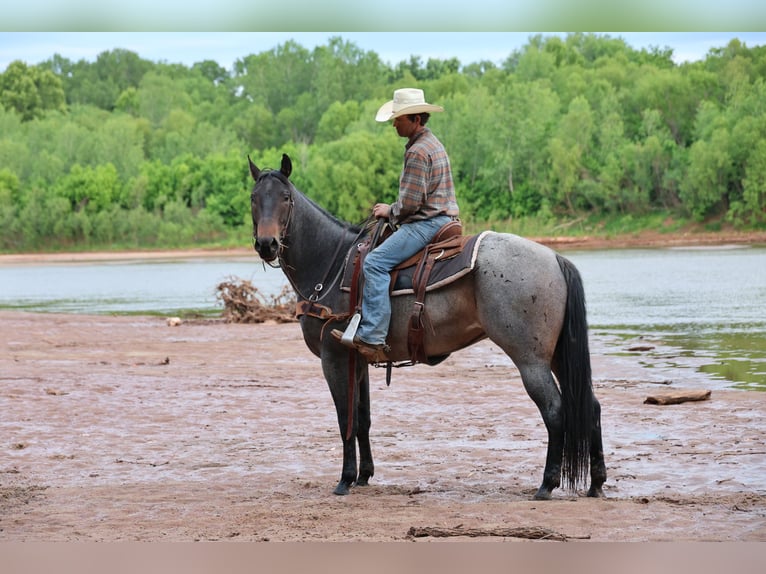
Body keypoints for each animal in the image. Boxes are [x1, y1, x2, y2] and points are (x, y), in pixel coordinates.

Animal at [248, 153, 606, 500]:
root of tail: (555, 258)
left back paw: (547, 484)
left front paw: (345, 479)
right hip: (556, 356)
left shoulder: (334, 358)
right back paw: (596, 483)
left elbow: (345, 419)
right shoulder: (357, 360)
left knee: (555, 410)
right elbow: (363, 420)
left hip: (531, 360)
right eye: (254, 198)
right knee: (590, 406)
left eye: (285, 198)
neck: (332, 265)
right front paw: (364, 476)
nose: (267, 244)